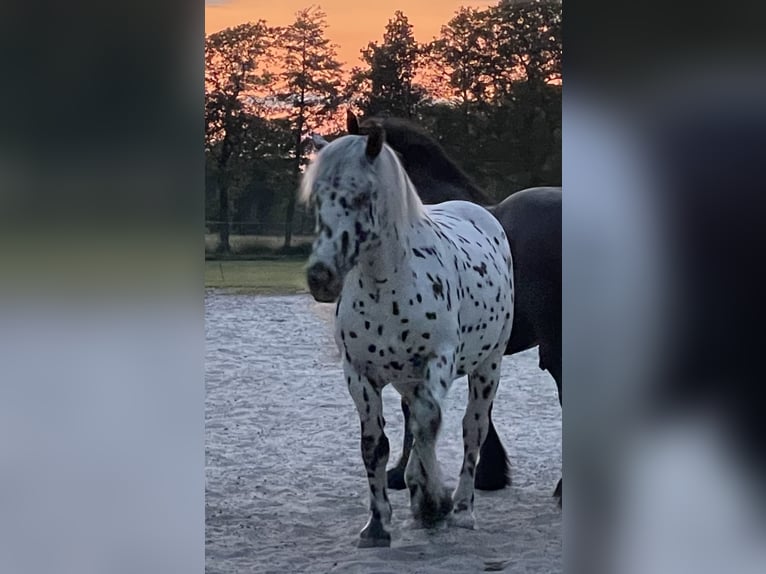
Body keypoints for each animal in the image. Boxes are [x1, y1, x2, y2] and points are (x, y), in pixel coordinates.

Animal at [300, 123, 515, 548]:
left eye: (361, 196)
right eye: (317, 198)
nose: (321, 278)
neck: (389, 286)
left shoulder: (439, 360)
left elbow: (429, 424)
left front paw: (434, 503)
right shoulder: (360, 374)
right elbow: (375, 446)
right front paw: (377, 525)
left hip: (488, 367)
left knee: (471, 430)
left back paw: (461, 509)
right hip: (409, 378)